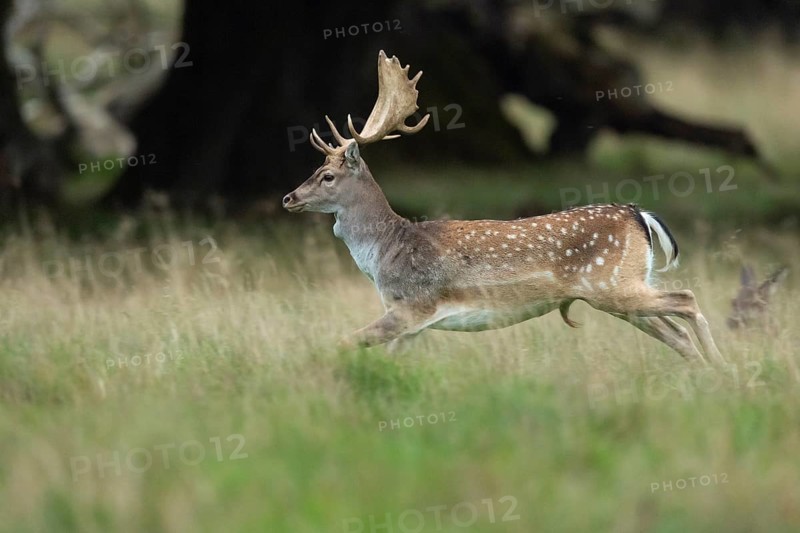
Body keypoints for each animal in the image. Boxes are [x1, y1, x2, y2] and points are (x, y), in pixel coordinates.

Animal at [282, 50, 726, 365]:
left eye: (327, 175)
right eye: (316, 169)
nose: (289, 198)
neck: (384, 253)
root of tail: (639, 215)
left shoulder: (414, 305)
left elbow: (344, 343)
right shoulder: (413, 323)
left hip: (613, 285)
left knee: (687, 299)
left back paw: (724, 369)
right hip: (621, 292)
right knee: (677, 334)